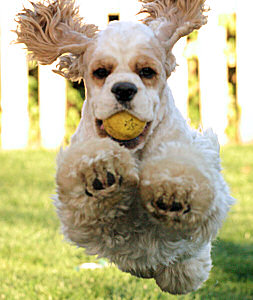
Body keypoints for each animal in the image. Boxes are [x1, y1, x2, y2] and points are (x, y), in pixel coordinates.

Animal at [15, 0, 233, 294]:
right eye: (101, 72)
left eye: (147, 72)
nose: (124, 89)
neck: (134, 151)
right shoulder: (78, 214)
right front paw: (100, 174)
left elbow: (183, 175)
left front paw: (173, 192)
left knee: (184, 271)